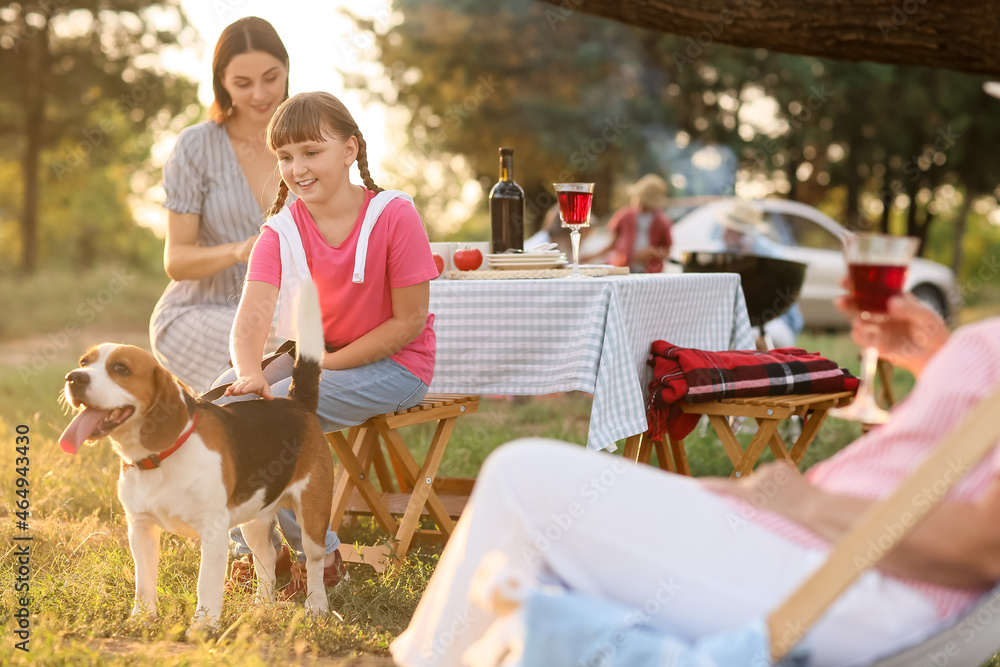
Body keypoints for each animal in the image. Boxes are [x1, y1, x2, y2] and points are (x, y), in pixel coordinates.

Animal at [60, 282, 334, 632]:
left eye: (121, 369)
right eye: (84, 362)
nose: (73, 377)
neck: (160, 456)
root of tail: (297, 403)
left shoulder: (213, 532)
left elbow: (206, 584)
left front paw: (202, 627)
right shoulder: (140, 528)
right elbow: (144, 582)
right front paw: (142, 619)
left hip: (312, 509)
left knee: (313, 557)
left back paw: (317, 605)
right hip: (254, 519)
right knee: (267, 558)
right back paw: (261, 606)